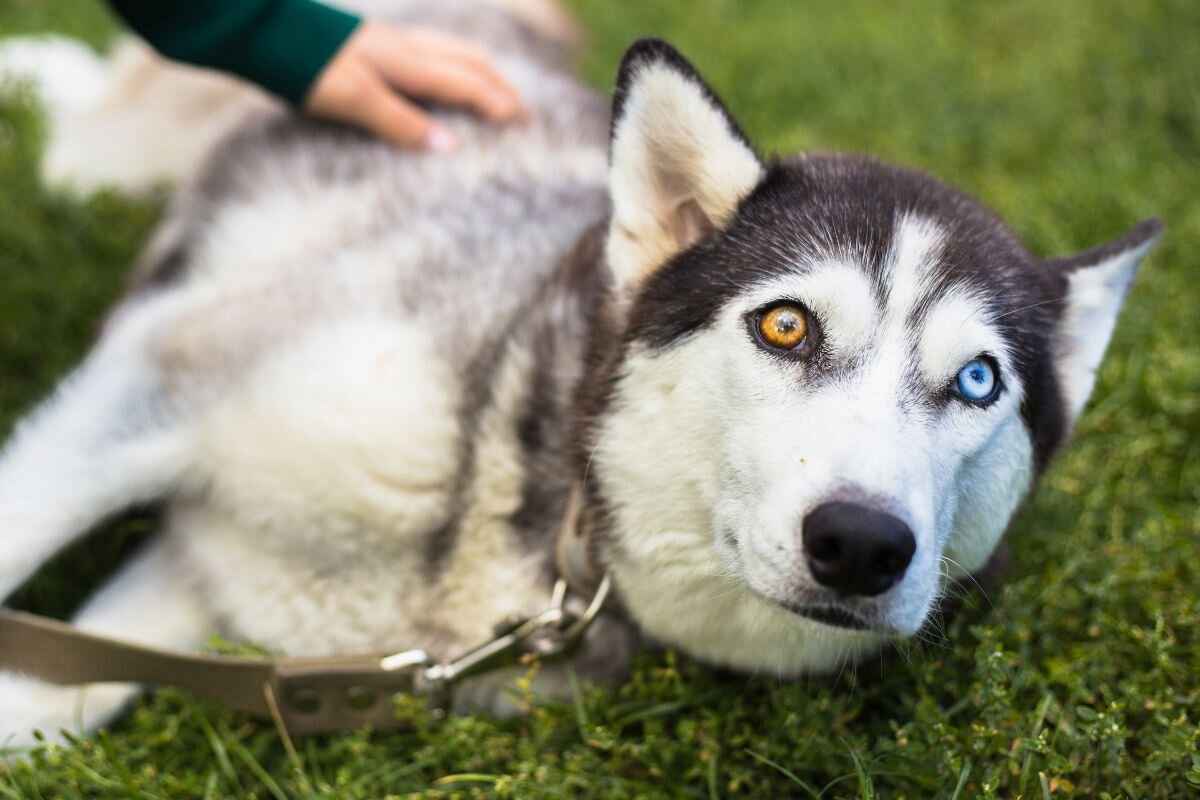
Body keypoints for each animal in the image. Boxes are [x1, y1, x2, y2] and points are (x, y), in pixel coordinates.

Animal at [0, 1, 1161, 753]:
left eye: (978, 382)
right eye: (786, 325)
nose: (863, 542)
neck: (535, 497)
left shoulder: (212, 581)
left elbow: (53, 694)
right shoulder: (168, 370)